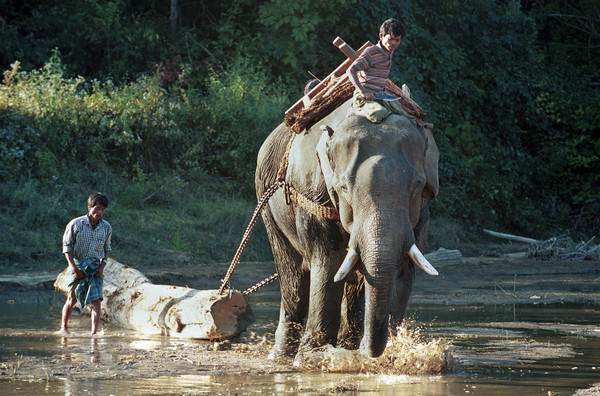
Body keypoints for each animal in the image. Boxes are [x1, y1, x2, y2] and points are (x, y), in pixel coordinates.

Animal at [254, 97, 440, 360]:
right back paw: (281, 356)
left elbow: (404, 267)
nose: (369, 350)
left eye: (418, 184)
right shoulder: (314, 199)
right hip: (266, 199)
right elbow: (328, 262)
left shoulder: (422, 214)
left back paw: (346, 344)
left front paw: (391, 353)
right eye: (343, 187)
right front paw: (311, 358)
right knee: (293, 277)